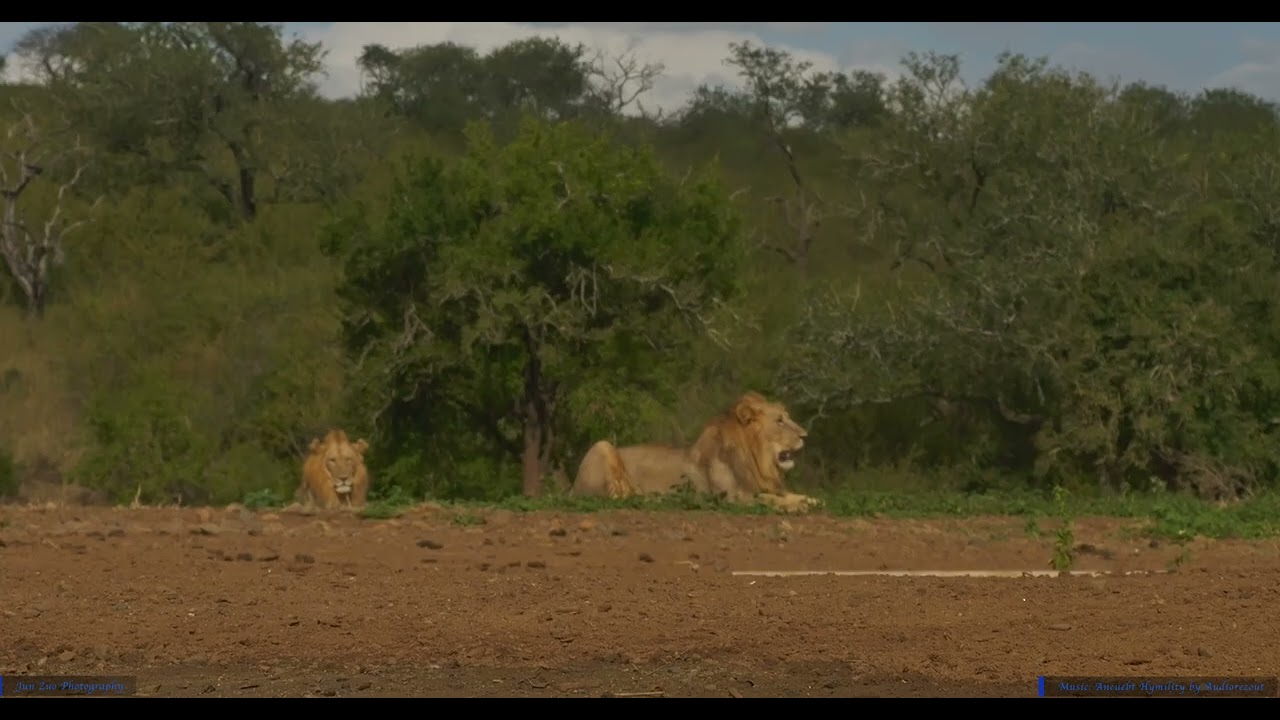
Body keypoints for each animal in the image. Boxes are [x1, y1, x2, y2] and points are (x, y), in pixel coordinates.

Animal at [571, 392, 820, 513]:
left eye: (786, 417)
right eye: (780, 421)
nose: (806, 435)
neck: (758, 462)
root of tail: (573, 487)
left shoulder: (761, 487)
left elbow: (789, 495)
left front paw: (812, 500)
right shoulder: (732, 498)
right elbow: (770, 501)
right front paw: (798, 506)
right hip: (602, 445)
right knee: (616, 496)